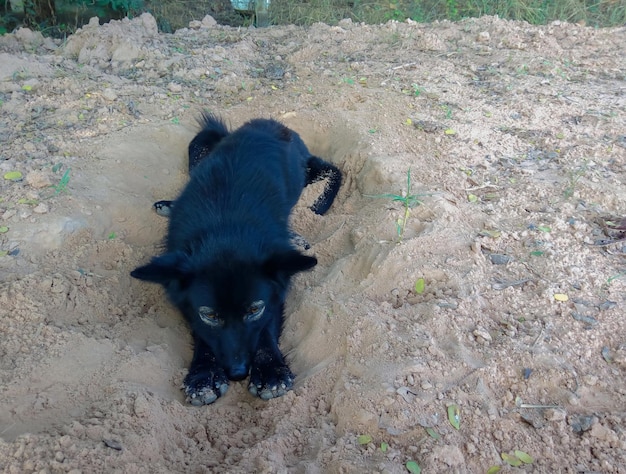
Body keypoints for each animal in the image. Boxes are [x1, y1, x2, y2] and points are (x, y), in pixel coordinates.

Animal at [129, 114, 338, 404]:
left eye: (254, 309)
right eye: (210, 315)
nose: (238, 373)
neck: (223, 227)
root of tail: (269, 122)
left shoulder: (275, 292)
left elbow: (265, 328)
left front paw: (271, 371)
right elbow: (202, 333)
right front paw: (203, 375)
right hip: (199, 146)